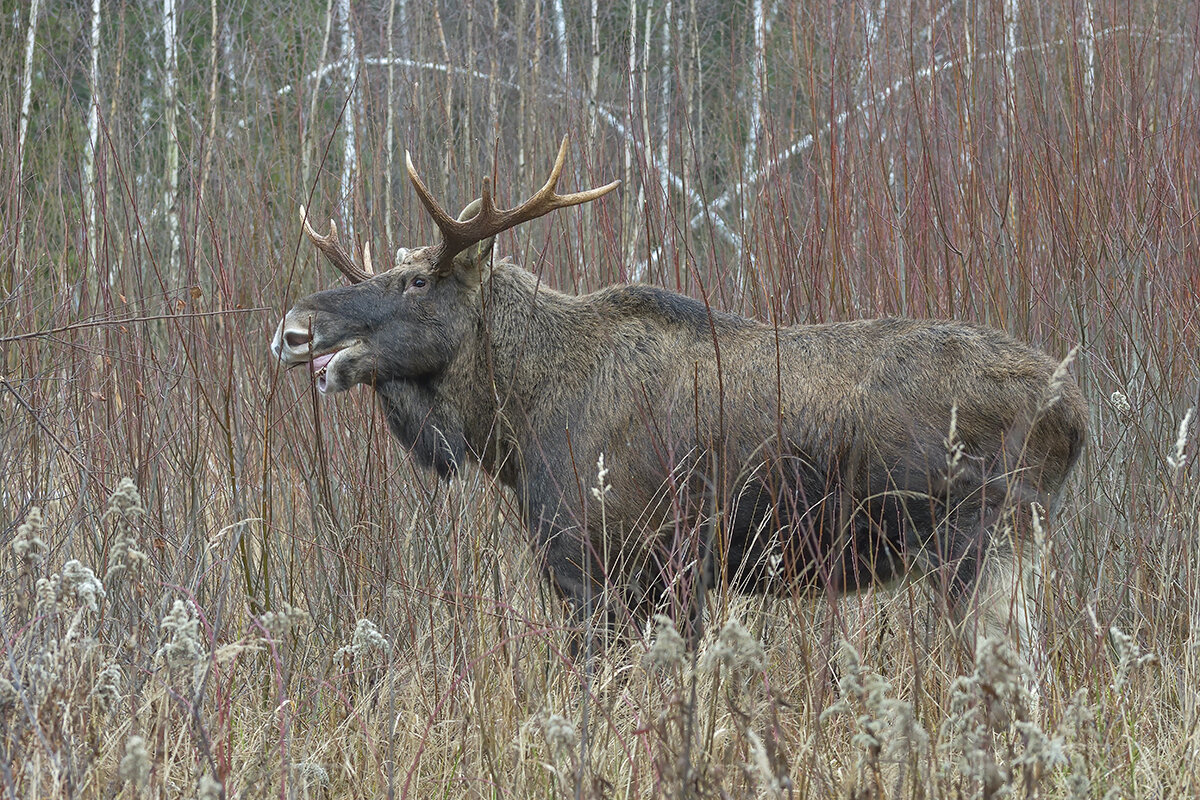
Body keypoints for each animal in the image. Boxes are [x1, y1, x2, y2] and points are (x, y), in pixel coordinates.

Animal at [274, 136, 1089, 657]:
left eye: (416, 281)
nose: (293, 328)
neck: (515, 427)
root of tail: (1075, 416)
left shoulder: (622, 560)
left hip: (979, 542)